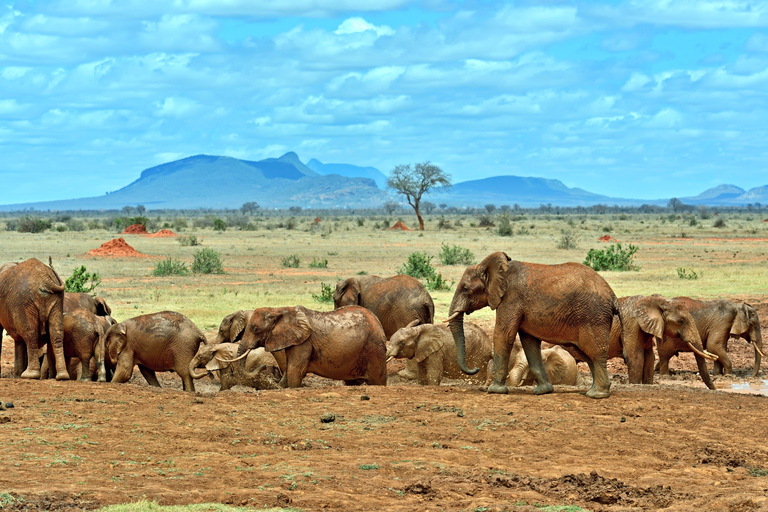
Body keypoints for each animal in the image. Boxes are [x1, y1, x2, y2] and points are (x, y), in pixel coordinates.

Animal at [232, 304, 390, 388]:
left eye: (255, 329)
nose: (265, 366)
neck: (278, 310)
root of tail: (377, 322)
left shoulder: (304, 343)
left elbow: (295, 370)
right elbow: (289, 369)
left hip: (373, 347)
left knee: (378, 380)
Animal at [450, 252, 616, 400]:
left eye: (465, 288)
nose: (476, 368)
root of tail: (612, 295)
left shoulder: (511, 298)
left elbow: (503, 334)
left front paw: (495, 391)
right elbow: (529, 342)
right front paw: (543, 391)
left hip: (594, 316)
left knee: (595, 353)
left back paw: (597, 395)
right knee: (587, 354)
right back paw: (592, 392)